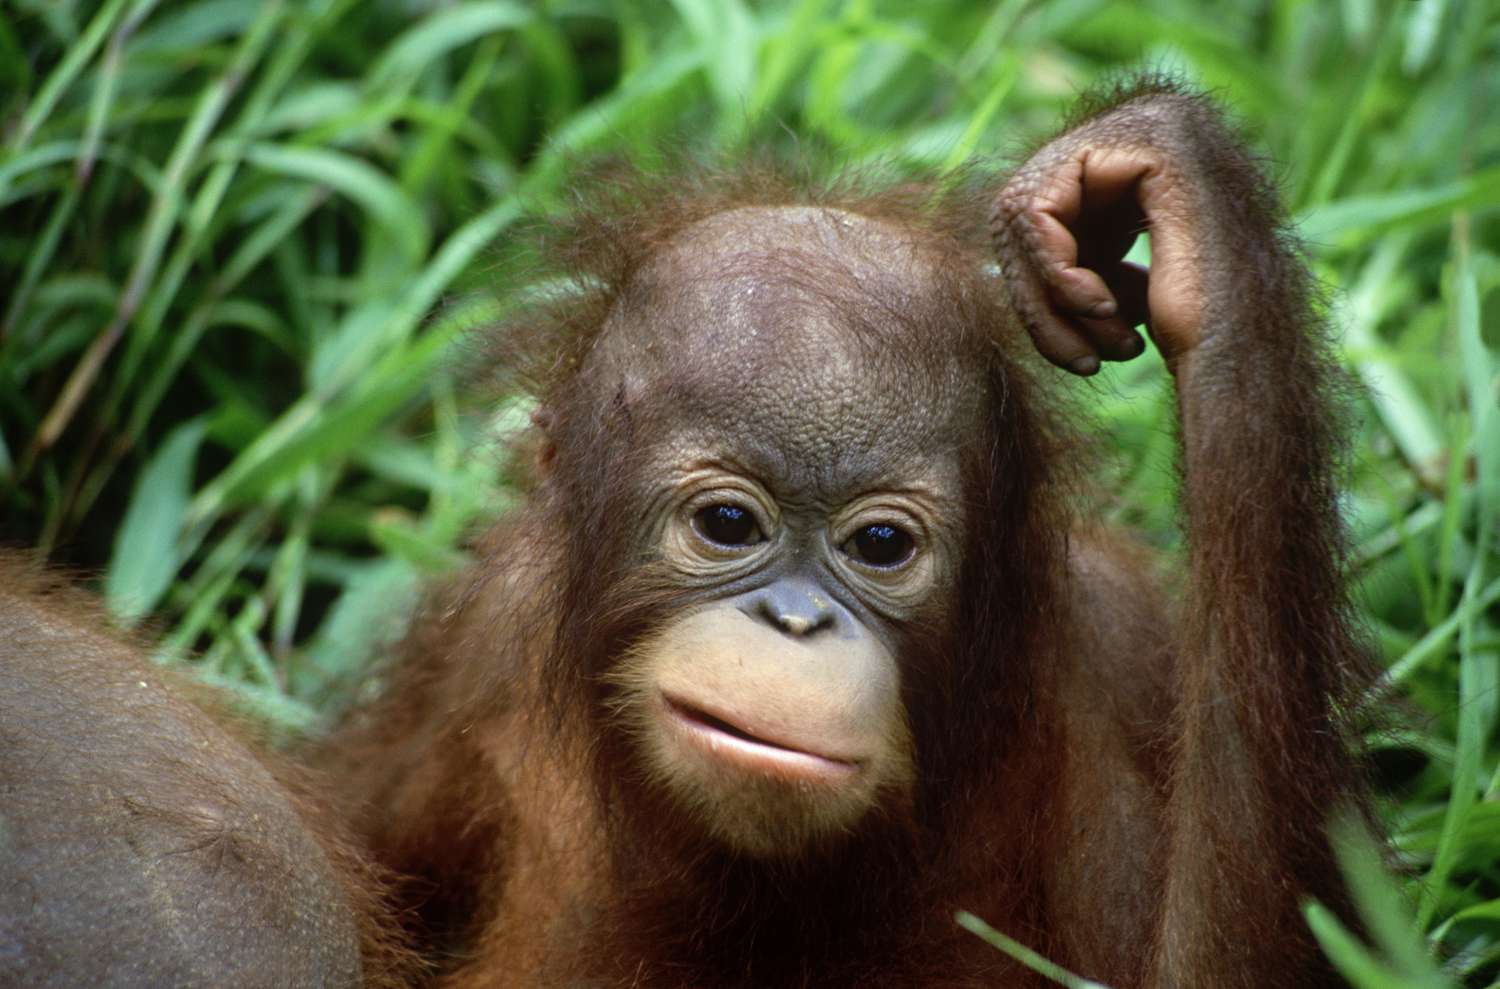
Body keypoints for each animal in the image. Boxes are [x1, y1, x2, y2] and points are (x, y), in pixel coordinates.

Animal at [315, 76, 1373, 988]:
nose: (795, 622)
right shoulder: (482, 629)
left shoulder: (1114, 658)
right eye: (728, 523)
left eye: (880, 547)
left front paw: (1191, 214)